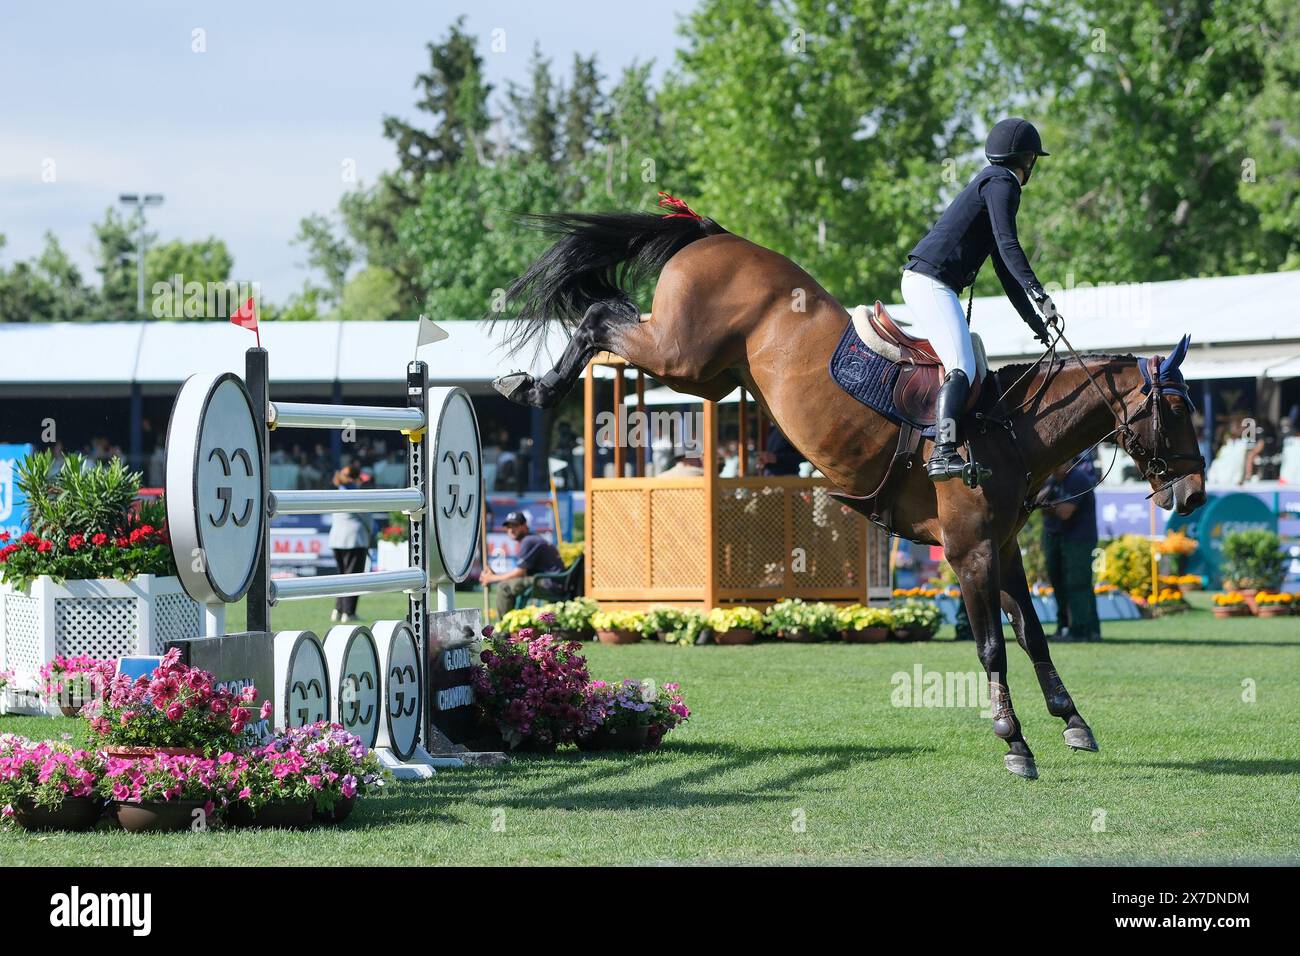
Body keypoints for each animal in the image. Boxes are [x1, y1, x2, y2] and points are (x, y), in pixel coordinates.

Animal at [488, 201, 1206, 780]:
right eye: (1175, 410)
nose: (1196, 492)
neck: (1011, 428)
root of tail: (717, 236)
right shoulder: (969, 551)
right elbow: (993, 646)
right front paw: (1015, 744)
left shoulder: (1001, 548)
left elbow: (1033, 634)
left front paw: (1071, 720)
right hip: (682, 354)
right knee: (600, 317)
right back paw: (532, 387)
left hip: (707, 376)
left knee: (609, 318)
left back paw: (530, 383)